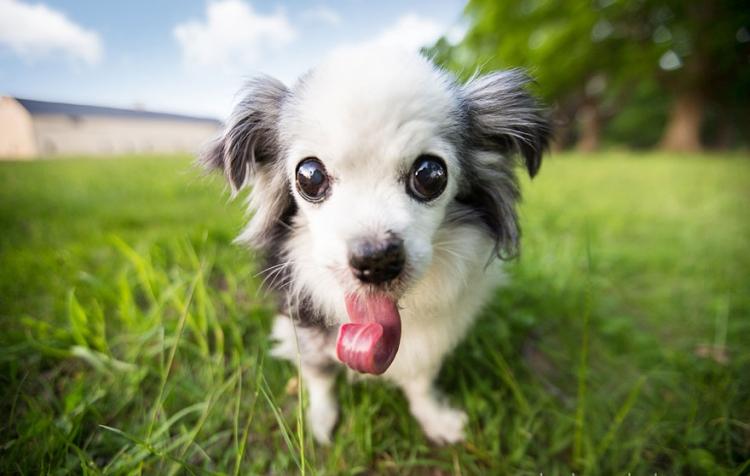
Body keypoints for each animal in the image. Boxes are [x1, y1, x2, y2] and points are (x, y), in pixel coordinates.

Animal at [201, 46, 552, 444]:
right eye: (310, 176)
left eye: (430, 174)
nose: (376, 259)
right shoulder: (305, 324)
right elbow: (319, 375)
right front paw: (321, 420)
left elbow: (420, 381)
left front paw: (434, 418)